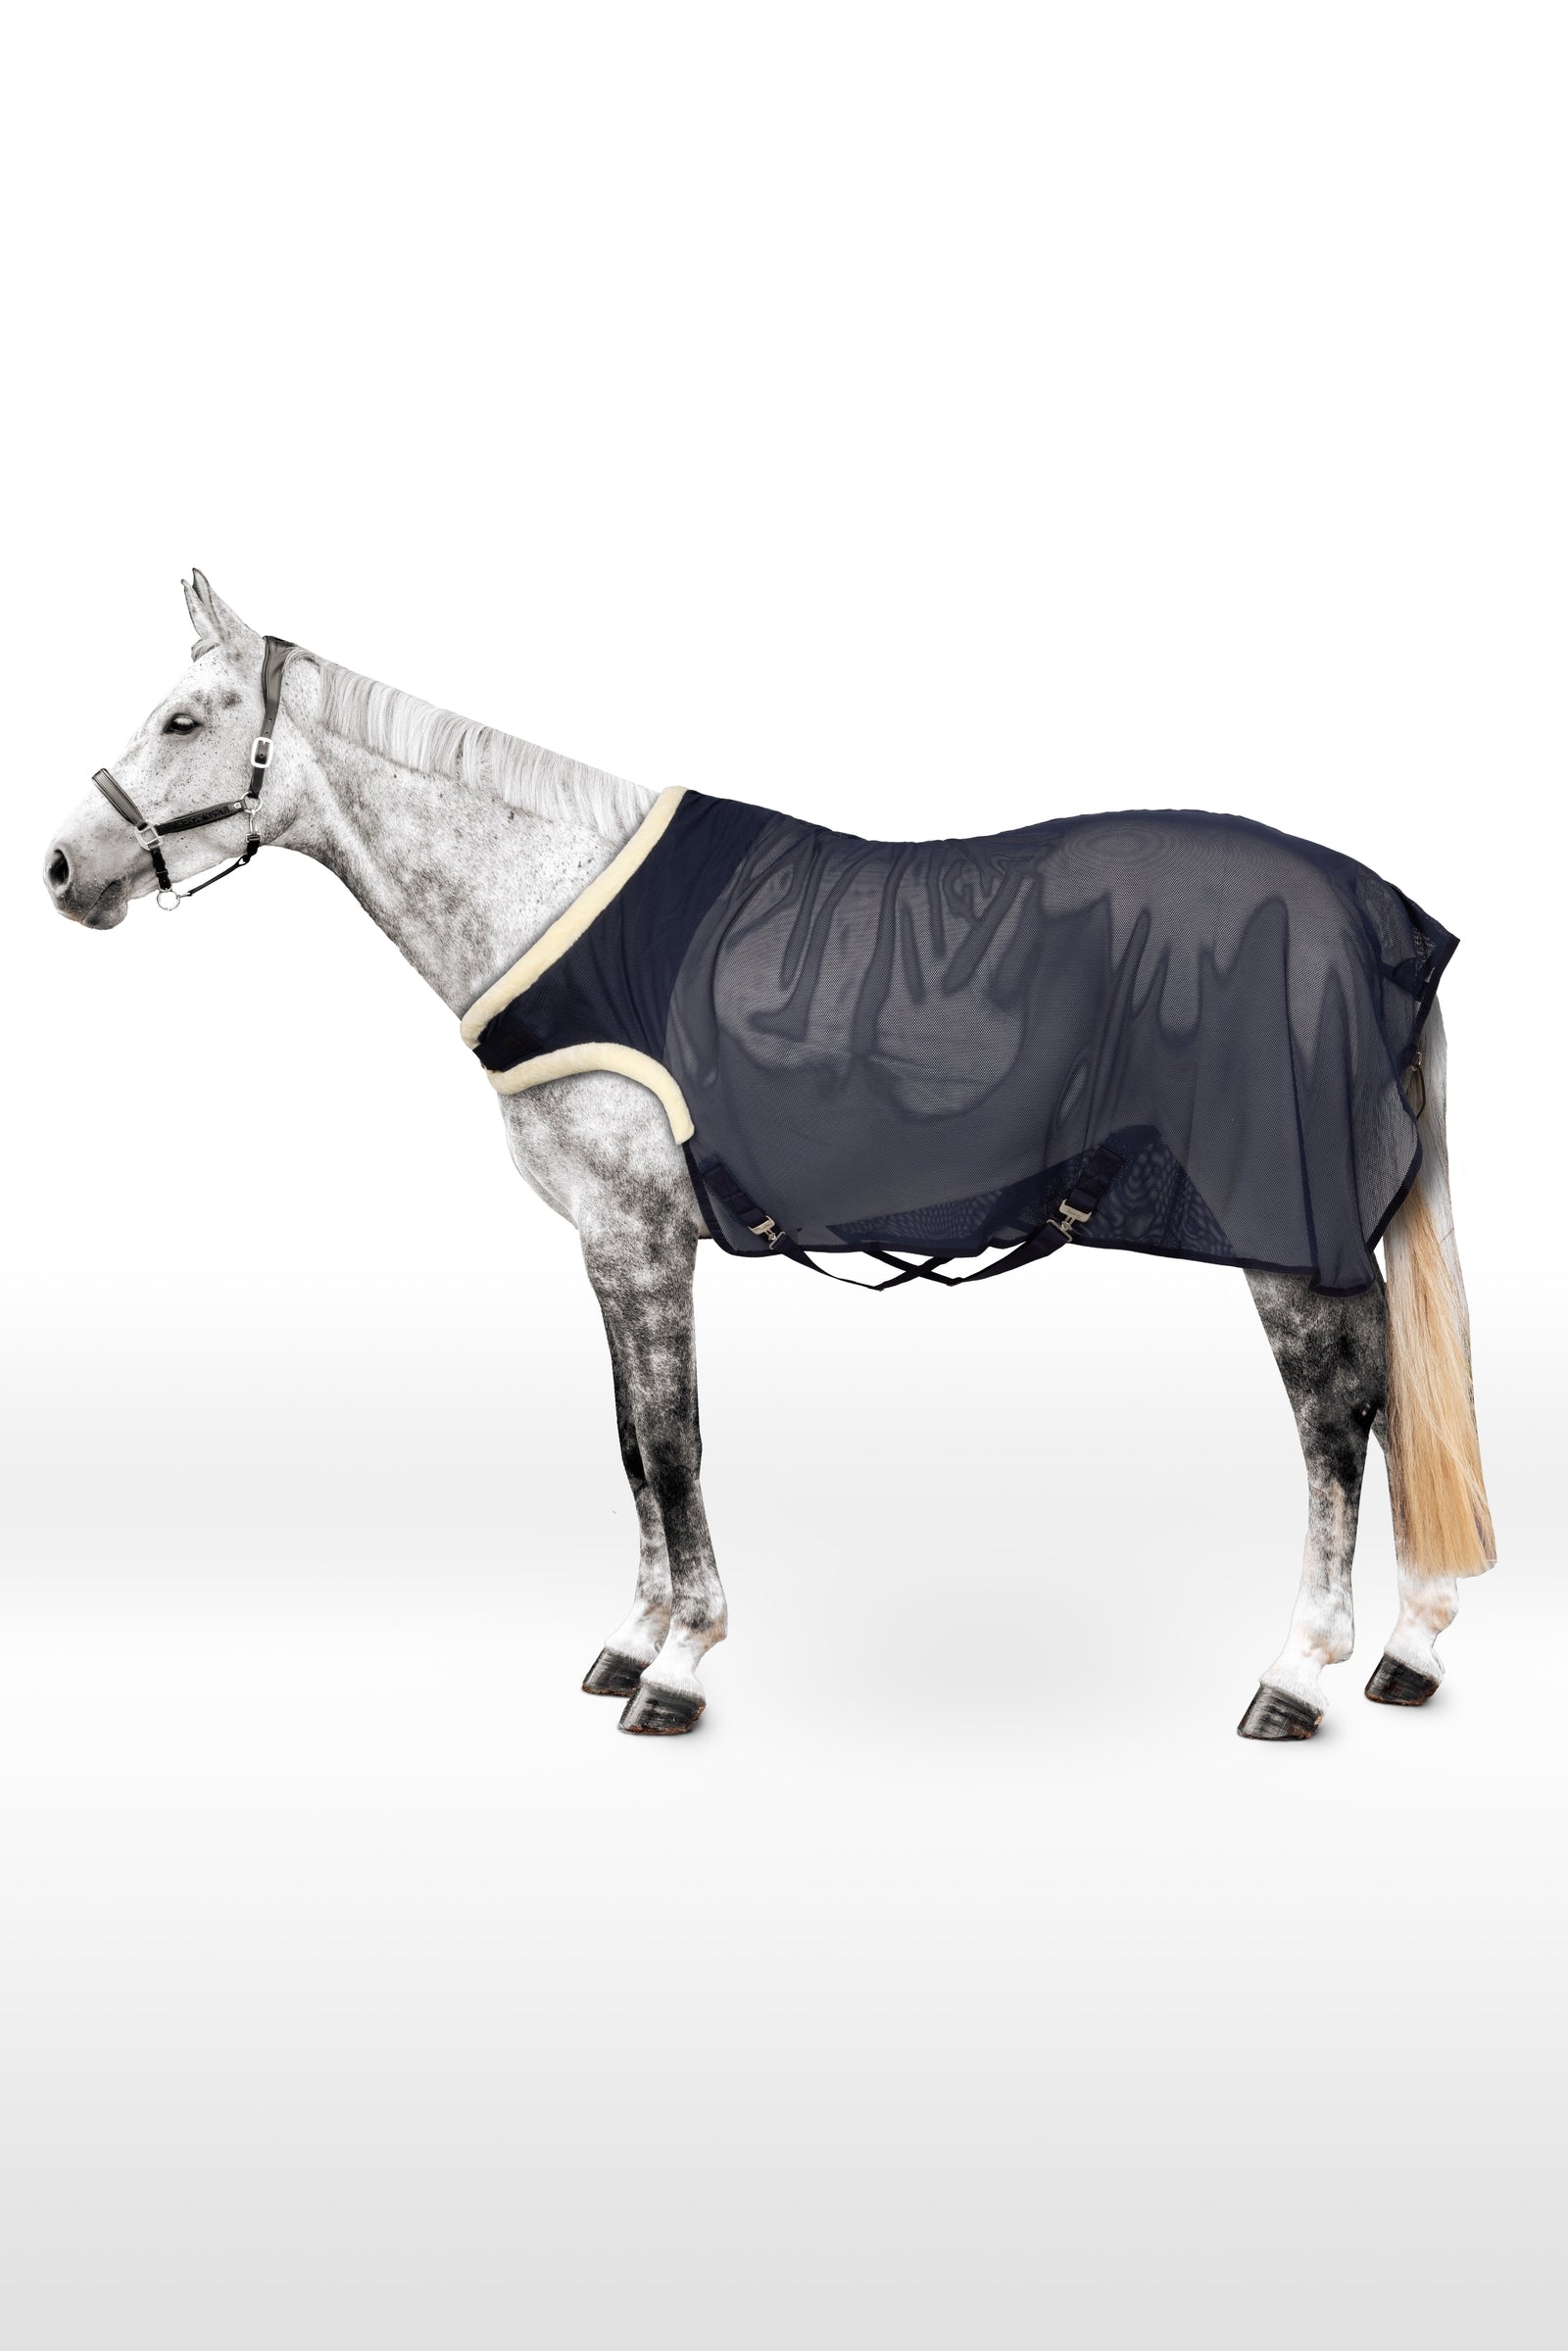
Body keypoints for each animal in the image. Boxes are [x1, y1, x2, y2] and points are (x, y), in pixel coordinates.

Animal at [42, 574, 1495, 1739]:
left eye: (185, 720)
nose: (64, 867)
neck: (551, 895)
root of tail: (1379, 916)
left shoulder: (641, 1236)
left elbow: (672, 1442)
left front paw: (677, 1667)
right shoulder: (605, 1243)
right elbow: (630, 1441)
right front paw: (630, 1637)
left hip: (1283, 1229)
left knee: (1334, 1413)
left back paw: (1298, 1674)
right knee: (1390, 1395)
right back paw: (1408, 1651)